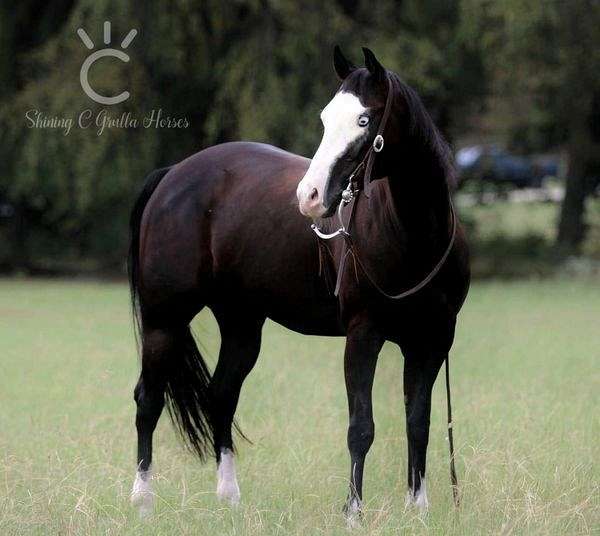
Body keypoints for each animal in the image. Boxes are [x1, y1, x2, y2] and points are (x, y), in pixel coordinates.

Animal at [129, 48, 472, 520]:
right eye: (326, 117)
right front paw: (352, 514)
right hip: (165, 318)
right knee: (148, 399)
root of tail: (173, 175)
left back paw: (229, 498)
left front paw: (418, 509)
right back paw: (141, 501)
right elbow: (361, 428)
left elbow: (418, 422)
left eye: (364, 119)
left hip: (241, 323)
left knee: (221, 396)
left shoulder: (432, 341)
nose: (309, 197)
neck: (413, 236)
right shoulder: (363, 335)